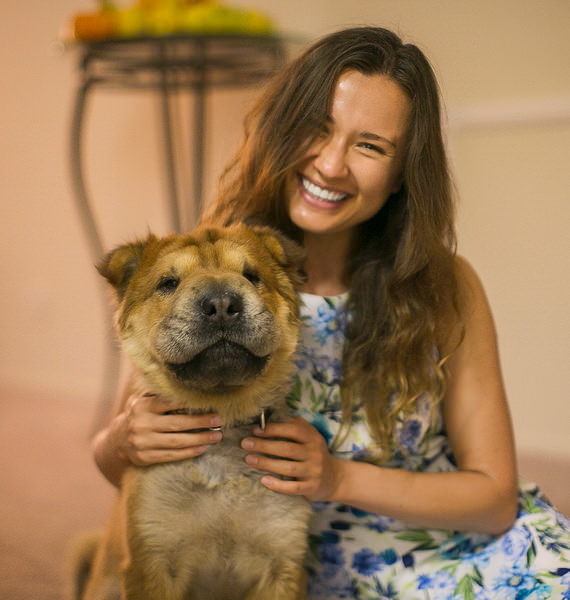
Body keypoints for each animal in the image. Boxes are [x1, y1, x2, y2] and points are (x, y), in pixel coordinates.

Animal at [76, 224, 310, 600]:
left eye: (252, 275)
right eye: (168, 283)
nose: (222, 304)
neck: (223, 420)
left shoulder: (283, 560)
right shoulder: (152, 556)